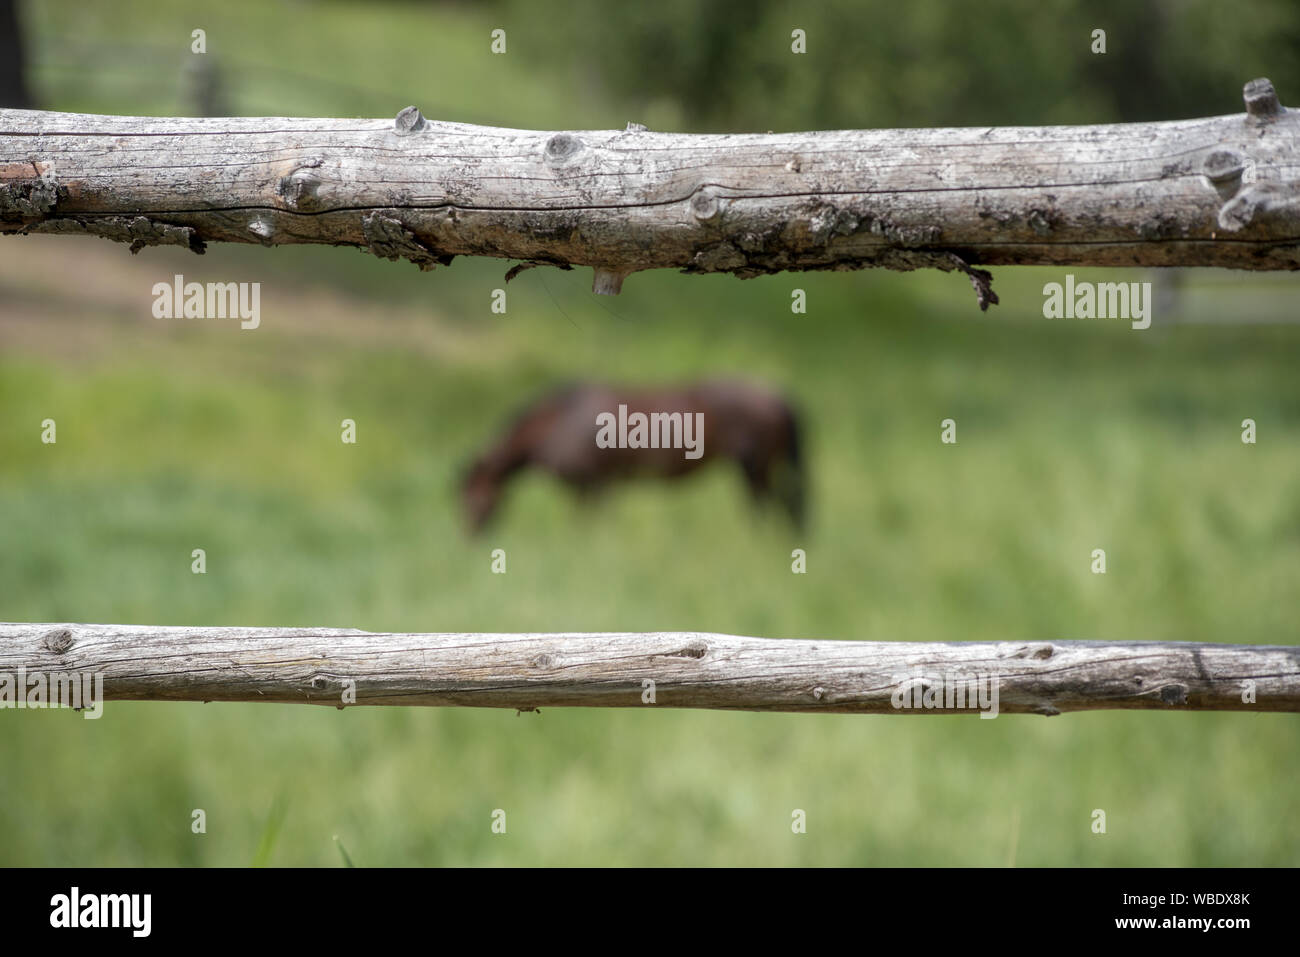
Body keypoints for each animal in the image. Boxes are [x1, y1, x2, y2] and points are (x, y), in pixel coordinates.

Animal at [457, 379, 800, 530]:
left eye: (471, 497)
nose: (469, 539)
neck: (557, 422)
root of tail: (775, 395)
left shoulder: (591, 484)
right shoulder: (597, 487)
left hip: (754, 469)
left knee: (768, 509)